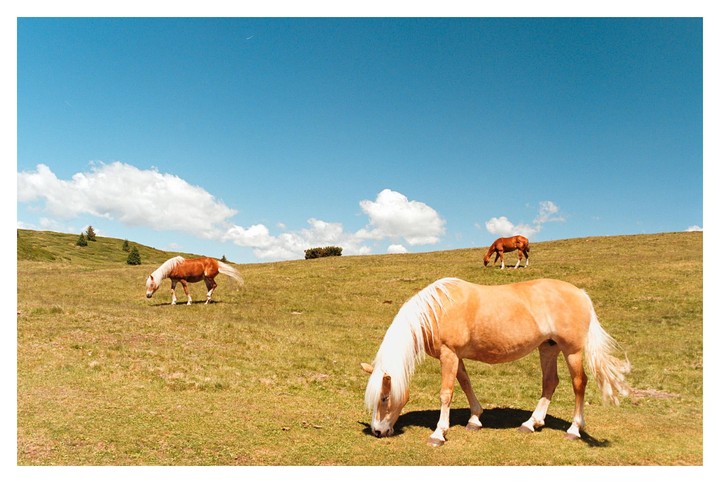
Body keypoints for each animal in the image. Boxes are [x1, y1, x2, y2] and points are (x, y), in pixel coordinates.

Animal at [361, 277, 630, 446]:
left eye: (384, 398)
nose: (377, 431)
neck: (437, 311)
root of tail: (580, 293)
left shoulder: (449, 355)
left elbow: (446, 393)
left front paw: (439, 433)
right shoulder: (457, 357)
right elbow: (466, 383)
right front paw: (475, 419)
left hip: (572, 351)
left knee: (579, 384)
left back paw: (574, 429)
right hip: (548, 348)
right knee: (550, 382)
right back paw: (531, 423)